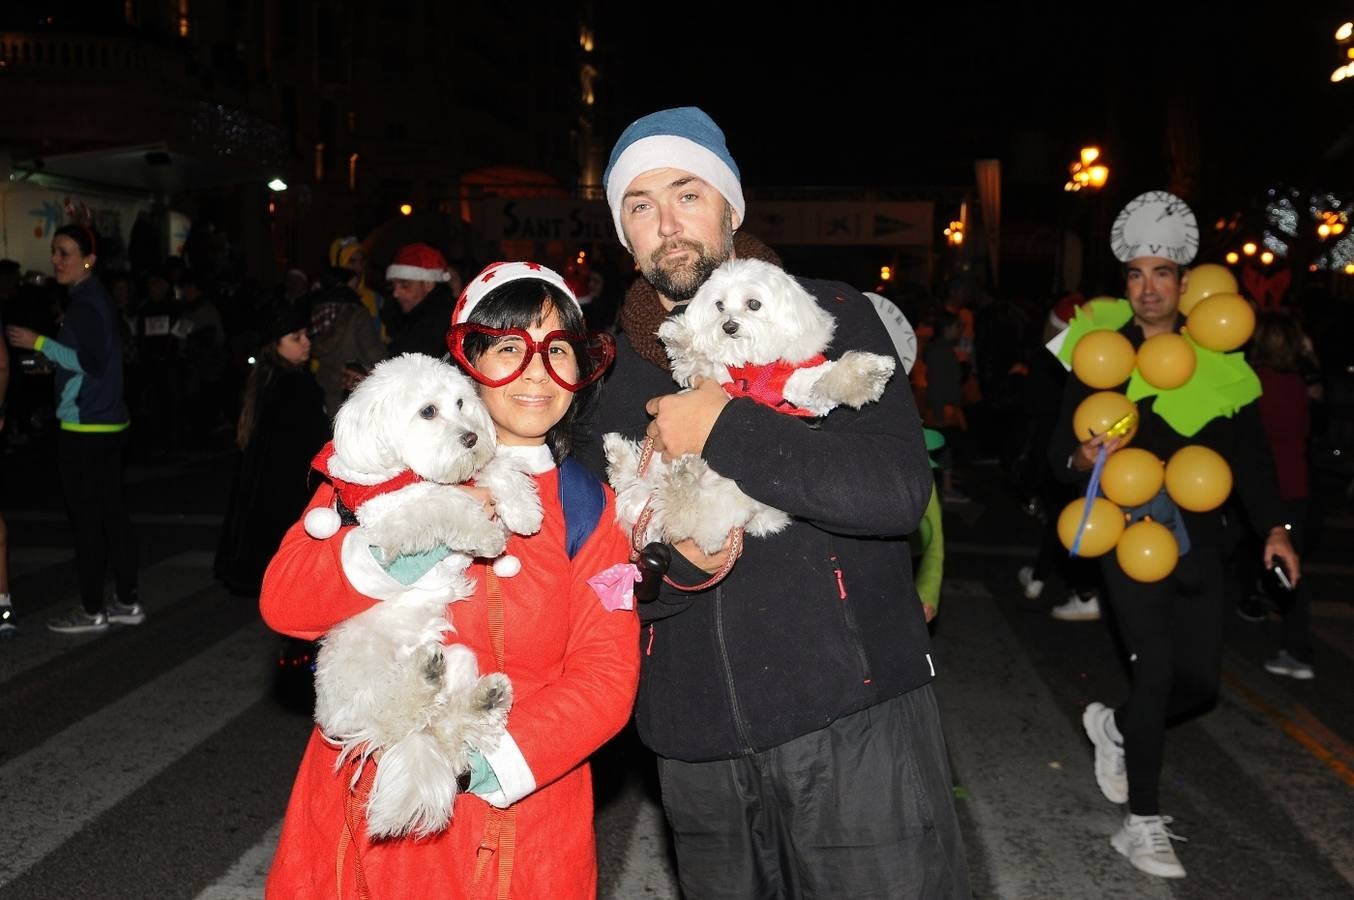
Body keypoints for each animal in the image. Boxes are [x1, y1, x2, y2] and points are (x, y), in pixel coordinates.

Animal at [609, 255, 893, 557]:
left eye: (754, 304)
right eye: (719, 305)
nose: (728, 326)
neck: (753, 368)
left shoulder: (796, 388)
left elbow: (828, 378)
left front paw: (870, 373)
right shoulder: (718, 375)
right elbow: (699, 358)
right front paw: (678, 333)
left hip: (724, 503)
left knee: (688, 519)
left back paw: (680, 479)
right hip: (659, 473)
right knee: (641, 487)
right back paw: (623, 455)